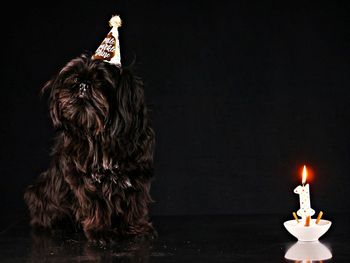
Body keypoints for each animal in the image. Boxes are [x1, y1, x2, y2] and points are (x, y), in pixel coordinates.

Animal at [23, 54, 155, 245]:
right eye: (75, 77)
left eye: (100, 80)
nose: (83, 84)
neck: (100, 136)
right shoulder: (83, 180)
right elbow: (95, 205)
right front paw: (100, 231)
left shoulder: (137, 175)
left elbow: (134, 203)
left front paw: (136, 228)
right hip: (38, 193)